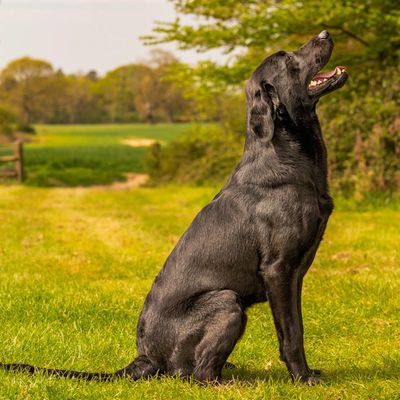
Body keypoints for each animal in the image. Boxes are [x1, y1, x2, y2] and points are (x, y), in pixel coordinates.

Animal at [1, 31, 346, 384]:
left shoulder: (294, 275)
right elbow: (292, 333)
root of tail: (145, 357)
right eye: (287, 58)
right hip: (227, 301)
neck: (285, 154)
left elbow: (297, 325)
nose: (325, 33)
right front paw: (304, 378)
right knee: (199, 374)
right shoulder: (279, 270)